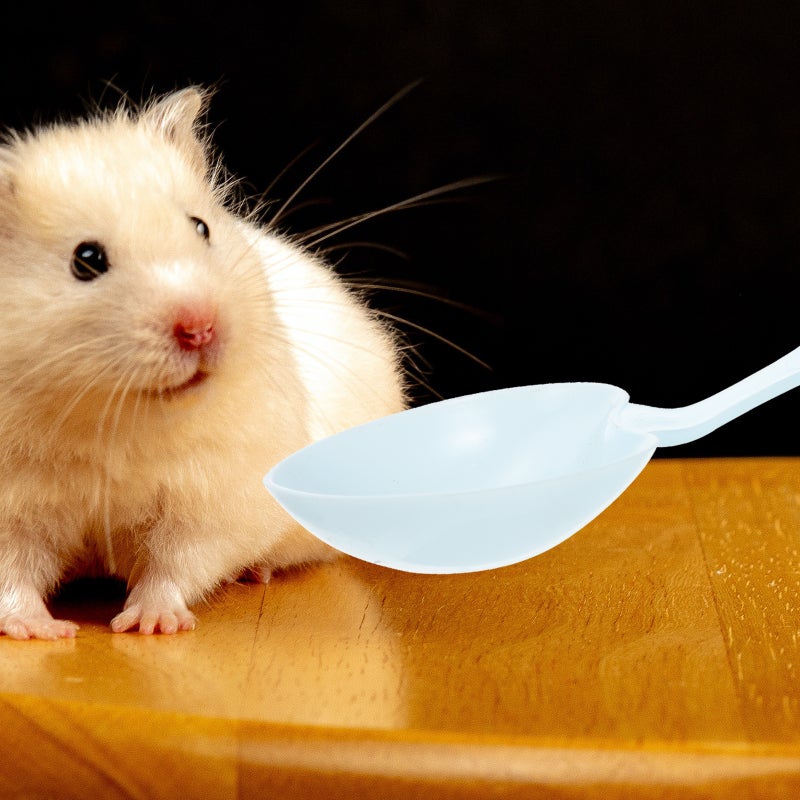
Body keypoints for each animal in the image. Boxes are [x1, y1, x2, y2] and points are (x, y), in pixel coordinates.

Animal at [0, 88, 406, 638]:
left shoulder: (216, 497)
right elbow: (13, 573)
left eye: (201, 227)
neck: (113, 419)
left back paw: (256, 573)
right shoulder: (13, 510)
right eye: (87, 260)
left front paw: (150, 624)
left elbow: (176, 562)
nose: (201, 329)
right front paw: (40, 629)